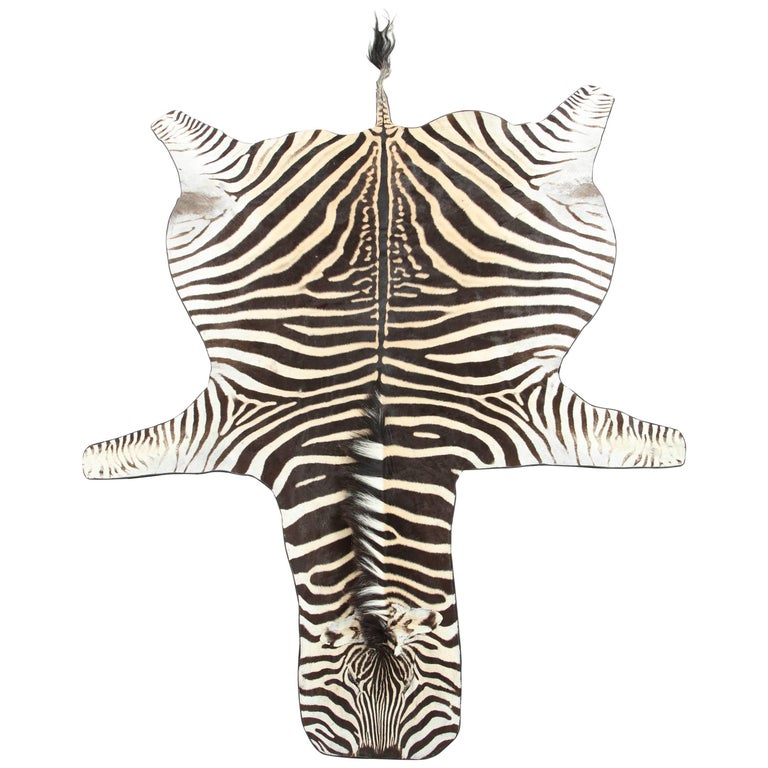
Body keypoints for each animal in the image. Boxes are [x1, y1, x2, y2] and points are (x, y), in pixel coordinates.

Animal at [83, 20, 685, 759]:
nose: (380, 754)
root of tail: (382, 130)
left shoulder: (530, 412)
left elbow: (629, 443)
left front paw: (671, 449)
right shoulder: (228, 421)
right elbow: (125, 455)